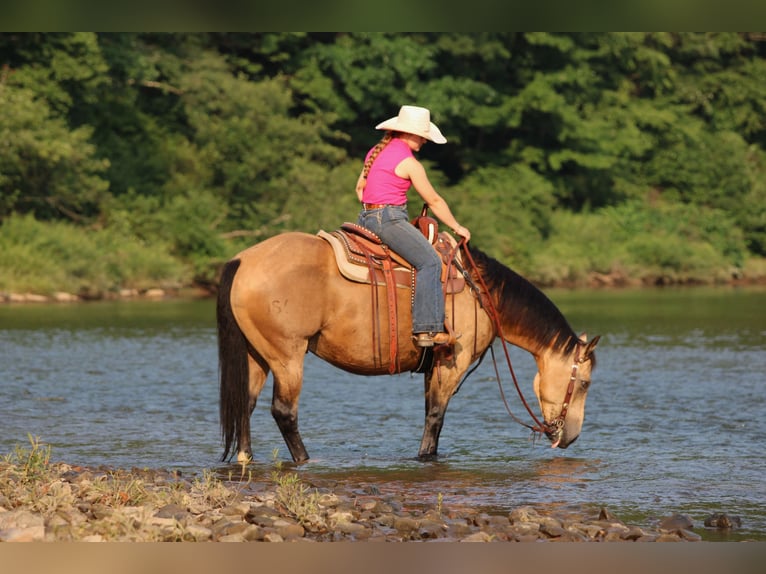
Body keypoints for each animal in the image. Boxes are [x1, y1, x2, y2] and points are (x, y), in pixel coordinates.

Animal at [217, 230, 600, 463]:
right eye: (583, 383)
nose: (571, 437)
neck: (480, 293)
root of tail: (243, 260)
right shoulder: (453, 364)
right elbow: (436, 417)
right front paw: (425, 457)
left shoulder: (434, 366)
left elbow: (431, 414)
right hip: (287, 356)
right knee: (283, 411)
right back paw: (305, 460)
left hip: (257, 355)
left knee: (245, 404)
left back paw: (246, 458)